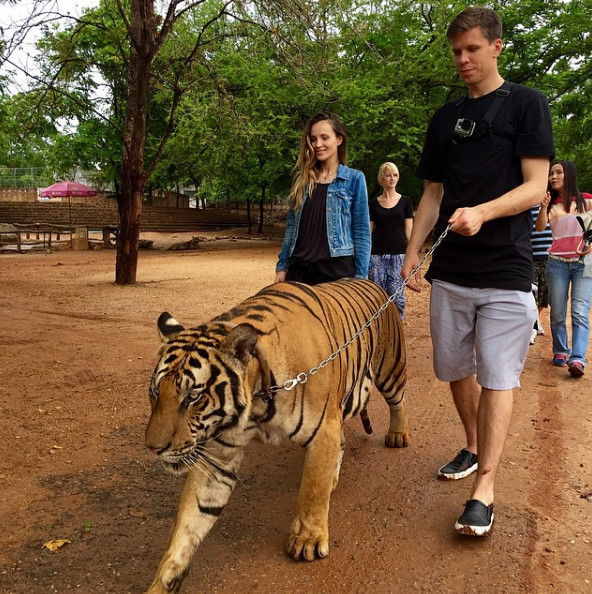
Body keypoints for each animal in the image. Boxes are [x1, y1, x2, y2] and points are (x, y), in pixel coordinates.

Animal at [146, 278, 410, 592]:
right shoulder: (219, 456)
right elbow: (189, 520)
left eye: (193, 397)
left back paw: (398, 434)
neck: (258, 399)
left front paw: (308, 540)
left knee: (398, 400)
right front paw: (163, 580)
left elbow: (312, 490)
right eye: (154, 392)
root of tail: (374, 283)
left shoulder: (323, 430)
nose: (153, 448)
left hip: (390, 369)